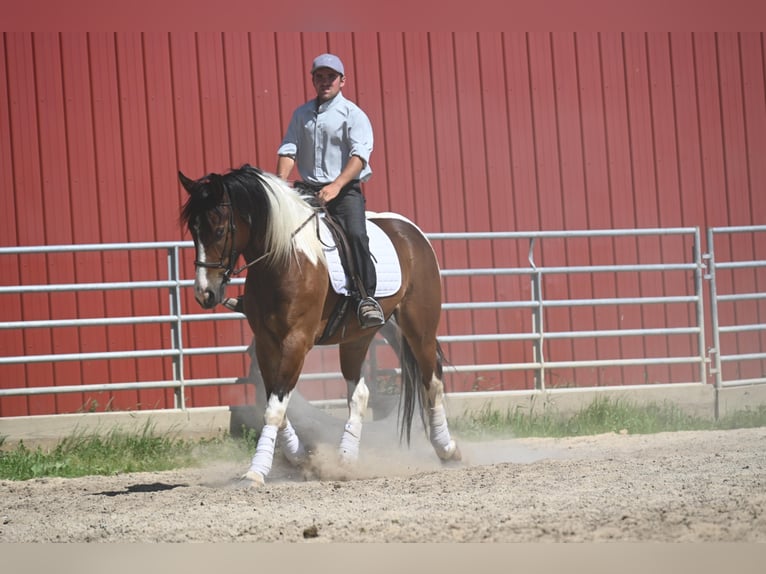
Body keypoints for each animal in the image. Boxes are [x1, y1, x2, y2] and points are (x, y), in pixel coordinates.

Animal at [178, 165, 462, 486]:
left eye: (219, 230)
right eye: (193, 231)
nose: (205, 294)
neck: (284, 261)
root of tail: (411, 232)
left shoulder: (296, 342)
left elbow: (274, 409)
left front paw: (255, 471)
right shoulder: (266, 343)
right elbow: (275, 405)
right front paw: (301, 457)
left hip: (419, 328)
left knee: (432, 382)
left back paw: (447, 449)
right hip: (357, 337)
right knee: (359, 394)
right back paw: (346, 459)